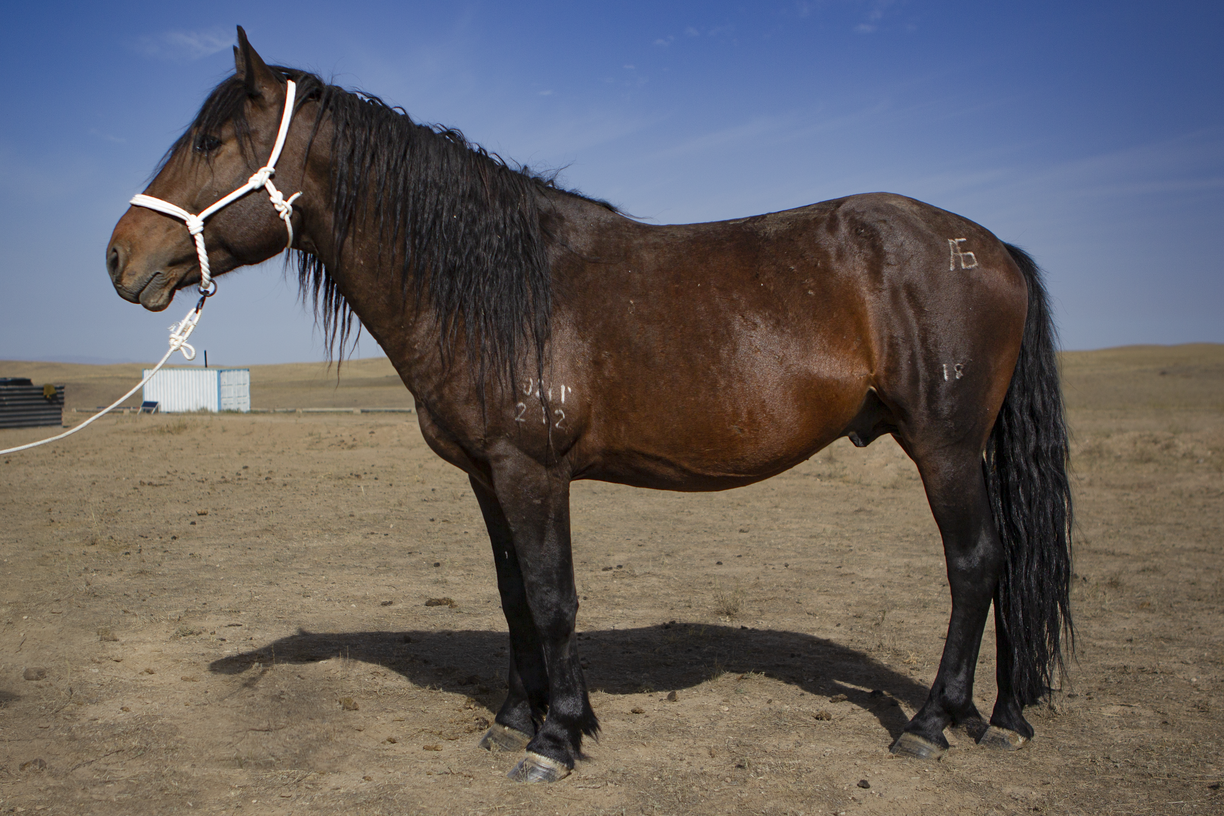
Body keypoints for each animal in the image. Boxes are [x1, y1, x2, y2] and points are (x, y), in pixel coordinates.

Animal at [110, 30, 1077, 782]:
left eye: (211, 141)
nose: (120, 258)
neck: (491, 286)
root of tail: (991, 247)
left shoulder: (532, 472)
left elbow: (552, 595)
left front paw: (559, 737)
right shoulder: (486, 476)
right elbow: (511, 597)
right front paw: (513, 718)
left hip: (944, 447)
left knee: (974, 566)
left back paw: (932, 724)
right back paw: (996, 716)